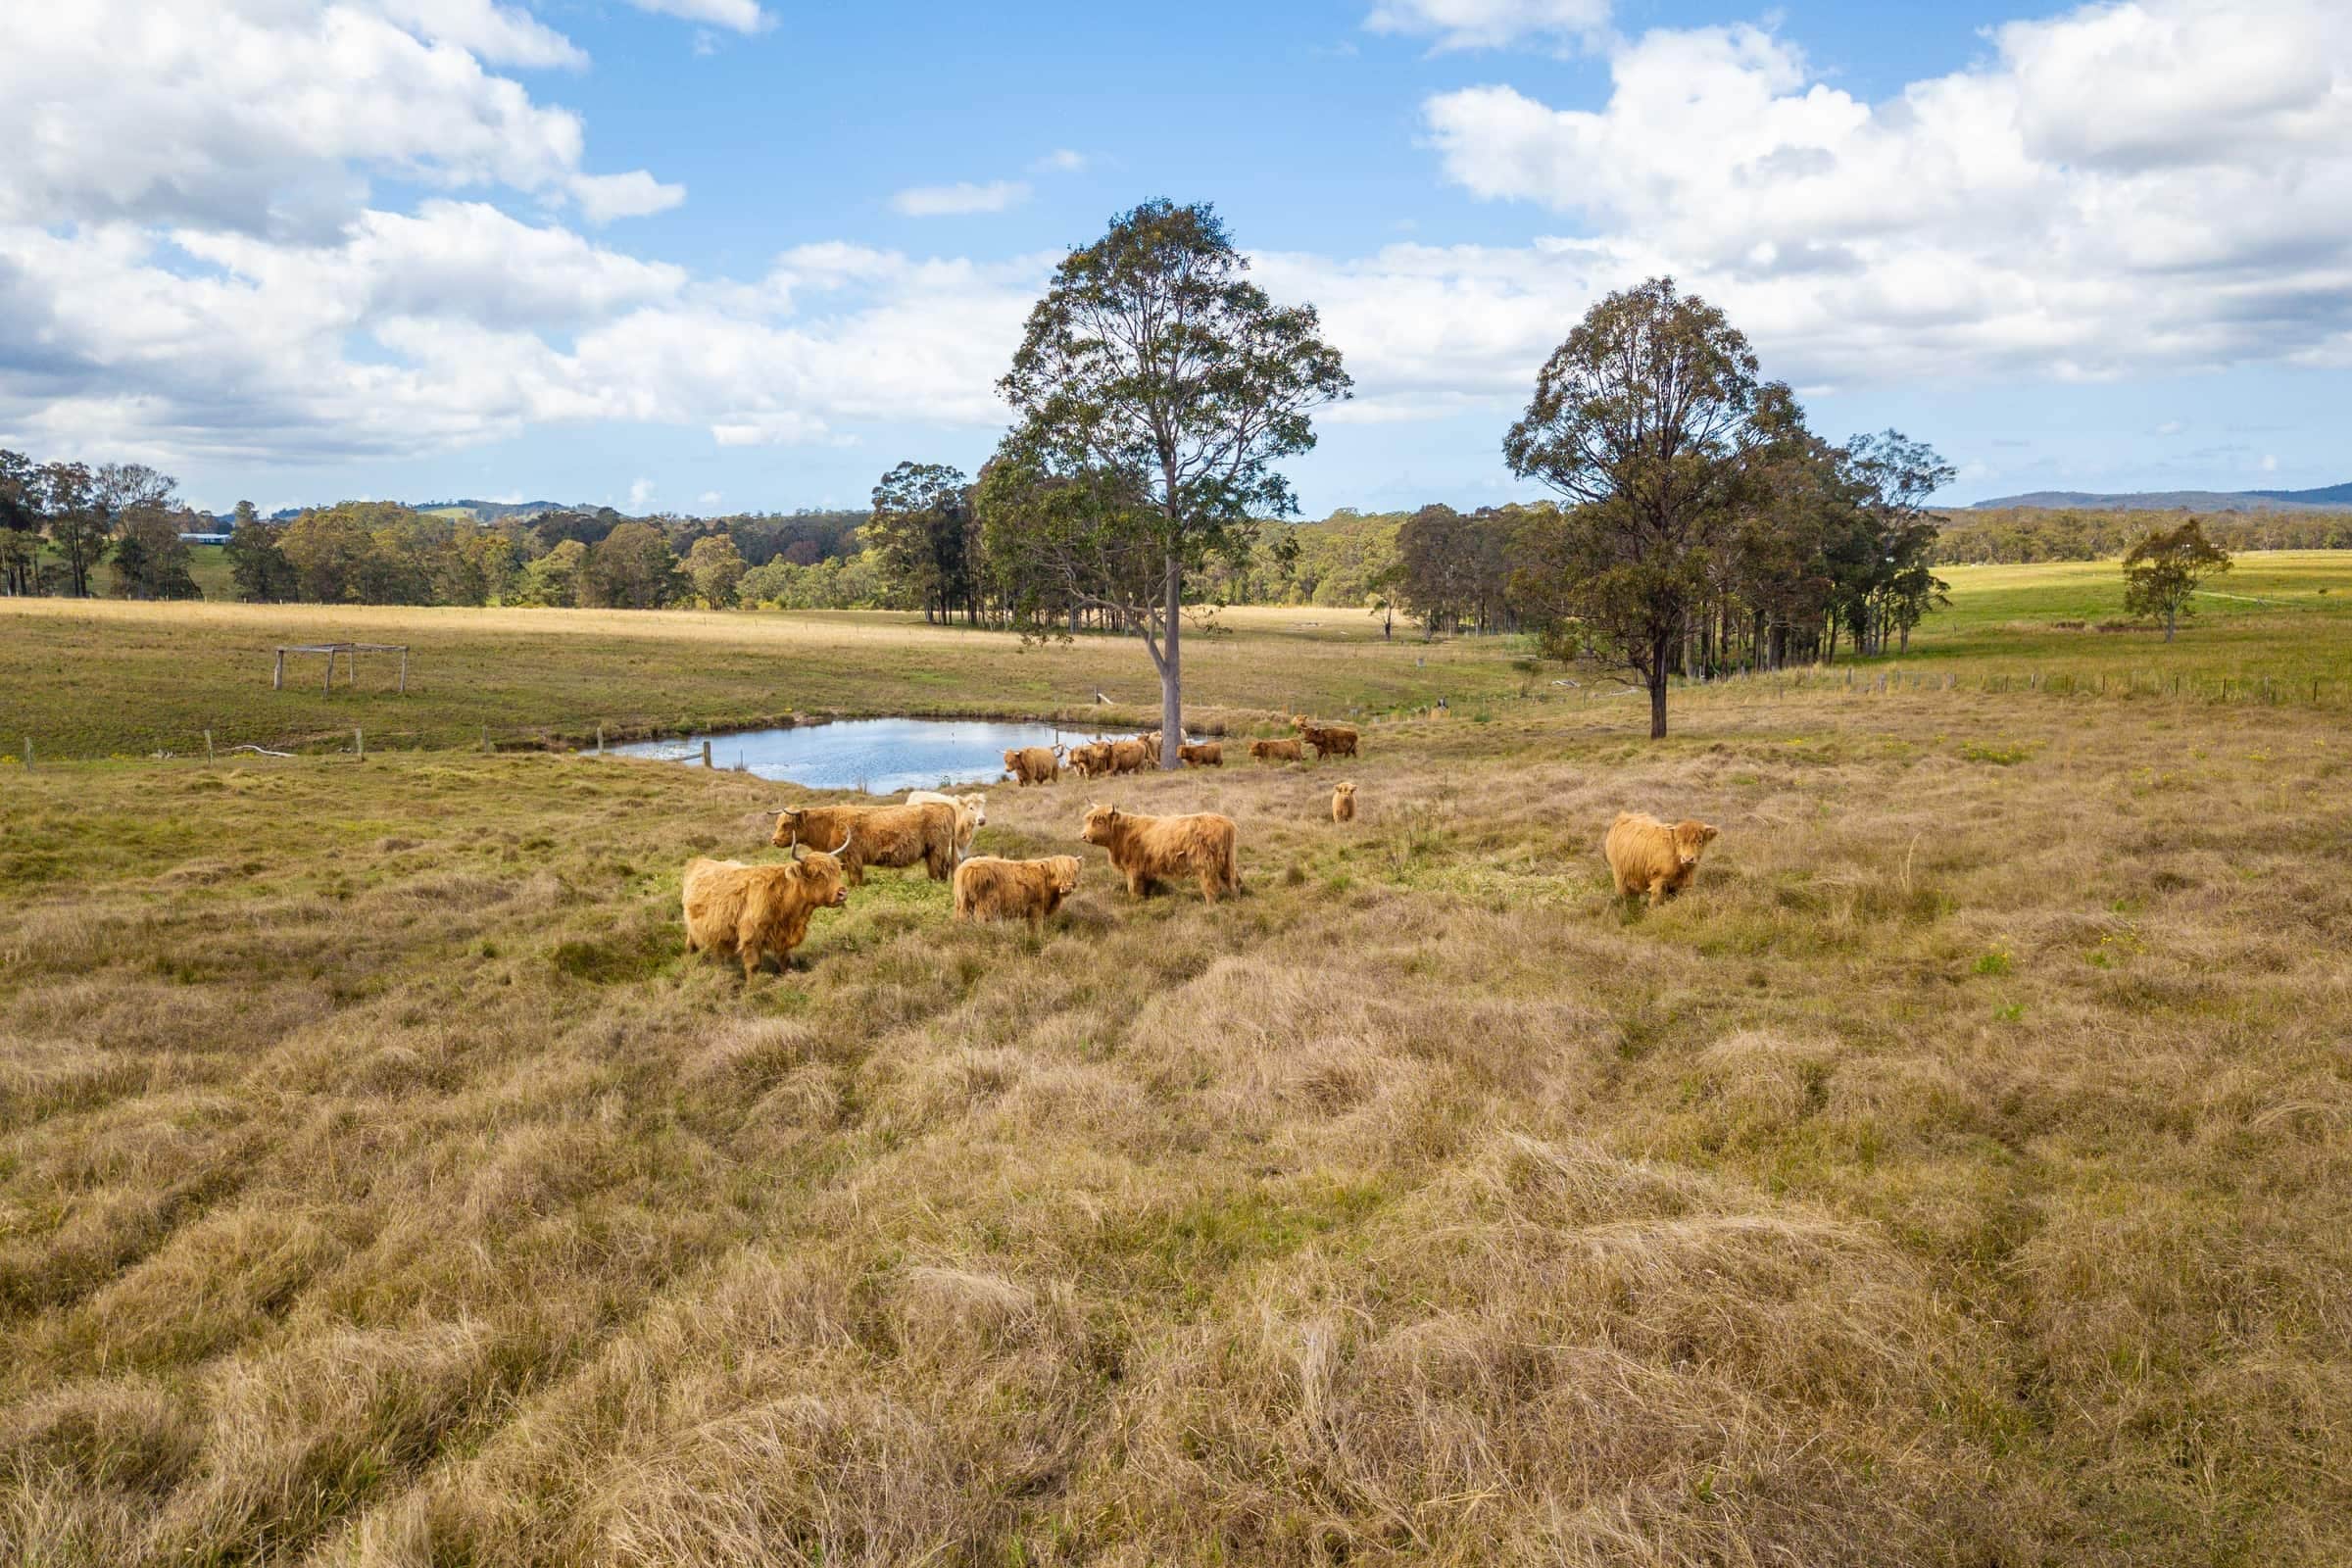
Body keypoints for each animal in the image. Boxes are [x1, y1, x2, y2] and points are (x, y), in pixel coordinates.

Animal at [682, 839, 851, 981]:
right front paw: (752, 989)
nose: (842, 893)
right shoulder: (750, 938)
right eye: (816, 874)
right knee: (691, 945)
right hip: (692, 928)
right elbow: (753, 966)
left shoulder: (783, 937)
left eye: (837, 871)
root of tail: (699, 861)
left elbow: (785, 961)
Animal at [772, 801, 958, 885]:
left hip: (937, 850)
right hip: (931, 852)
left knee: (941, 867)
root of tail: (945, 805)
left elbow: (856, 879)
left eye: (787, 824)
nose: (774, 840)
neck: (829, 826)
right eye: (777, 823)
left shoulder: (853, 857)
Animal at [953, 855, 1083, 930]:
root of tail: (966, 868)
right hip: (985, 905)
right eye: (1056, 873)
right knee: (981, 920)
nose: (1067, 888)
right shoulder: (1036, 908)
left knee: (962, 919)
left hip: (963, 903)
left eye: (1074, 872)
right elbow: (1036, 926)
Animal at [1080, 803, 1240, 904]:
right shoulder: (1147, 870)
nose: (1083, 836)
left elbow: (1133, 888)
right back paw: (1234, 899)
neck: (1123, 834)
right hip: (1227, 861)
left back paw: (1210, 905)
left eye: (1099, 821)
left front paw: (1135, 902)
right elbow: (1147, 887)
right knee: (1230, 881)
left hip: (1205, 865)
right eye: (1088, 820)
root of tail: (1226, 823)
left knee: (1210, 886)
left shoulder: (1133, 869)